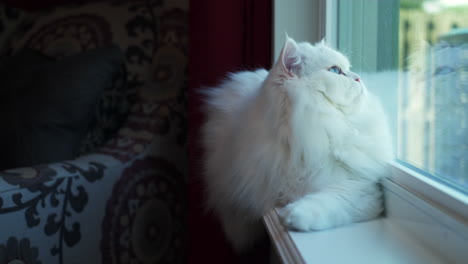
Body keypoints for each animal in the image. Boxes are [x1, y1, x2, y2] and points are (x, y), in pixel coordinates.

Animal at [202, 37, 394, 252]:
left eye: (348, 69)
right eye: (335, 71)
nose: (358, 78)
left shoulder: (362, 188)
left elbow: (327, 200)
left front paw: (293, 216)